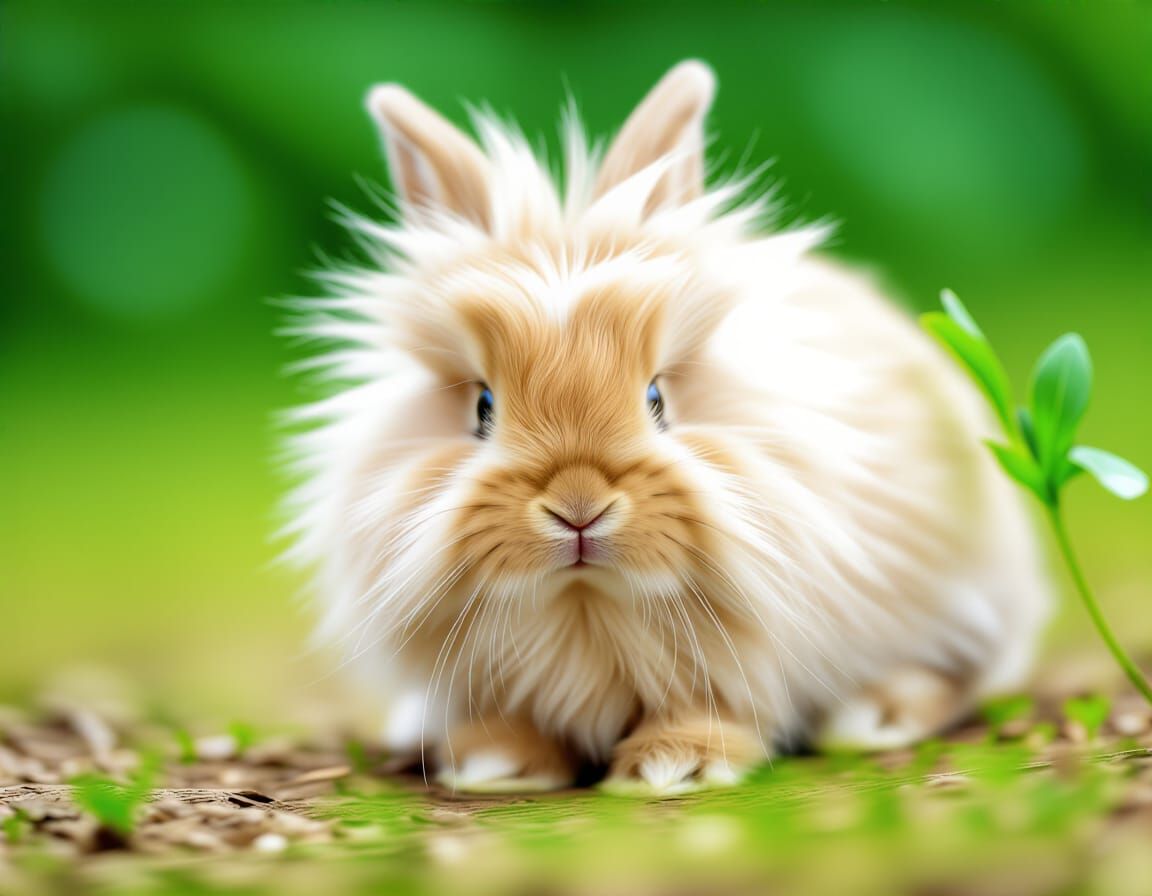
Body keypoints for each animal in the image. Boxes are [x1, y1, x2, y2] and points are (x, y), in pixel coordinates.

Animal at [283, 60, 1050, 795]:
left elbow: (713, 709)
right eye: (482, 408)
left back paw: (873, 718)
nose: (579, 508)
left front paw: (671, 768)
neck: (587, 610)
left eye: (657, 397)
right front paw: (493, 763)